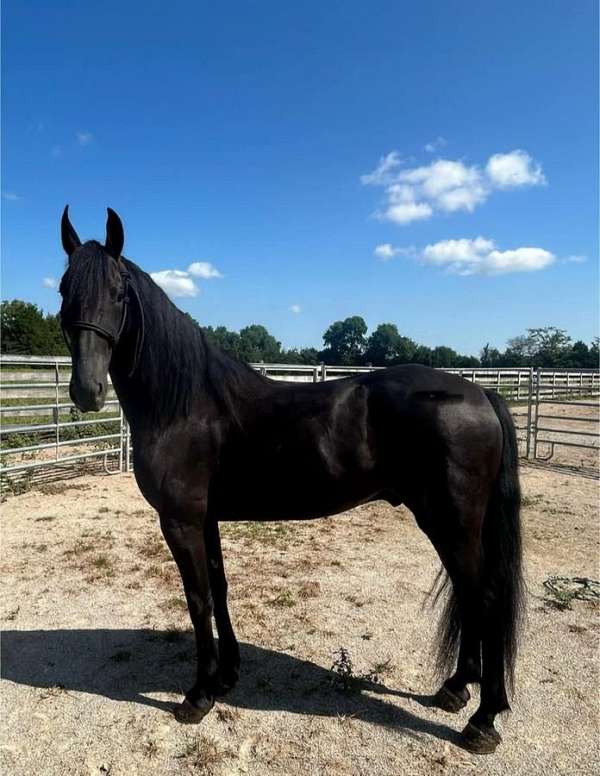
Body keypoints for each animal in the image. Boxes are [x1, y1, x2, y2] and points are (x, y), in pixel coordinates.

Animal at [58, 206, 524, 752]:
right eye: (64, 287)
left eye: (119, 292)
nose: (86, 391)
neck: (186, 405)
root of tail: (481, 394)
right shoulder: (207, 520)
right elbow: (220, 588)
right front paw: (227, 675)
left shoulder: (180, 522)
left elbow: (197, 600)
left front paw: (198, 695)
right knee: (471, 597)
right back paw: (455, 688)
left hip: (451, 522)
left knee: (485, 599)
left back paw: (484, 719)